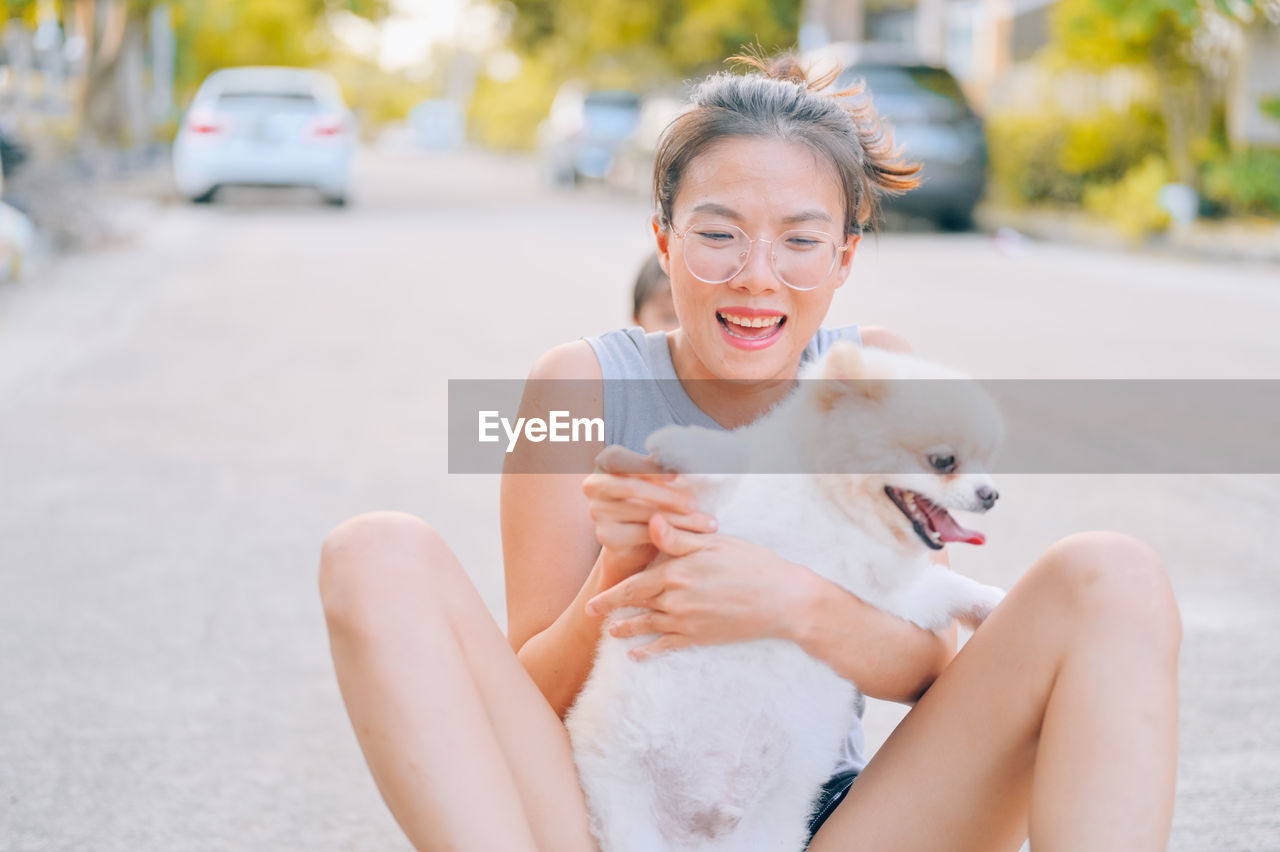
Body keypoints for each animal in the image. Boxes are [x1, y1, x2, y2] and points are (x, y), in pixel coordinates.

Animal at [570, 342, 1008, 844]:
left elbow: (948, 587)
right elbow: (728, 464)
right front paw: (680, 444)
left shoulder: (880, 599)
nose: (991, 494)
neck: (829, 507)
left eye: (985, 461)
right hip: (628, 813)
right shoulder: (712, 515)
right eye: (943, 461)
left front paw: (991, 603)